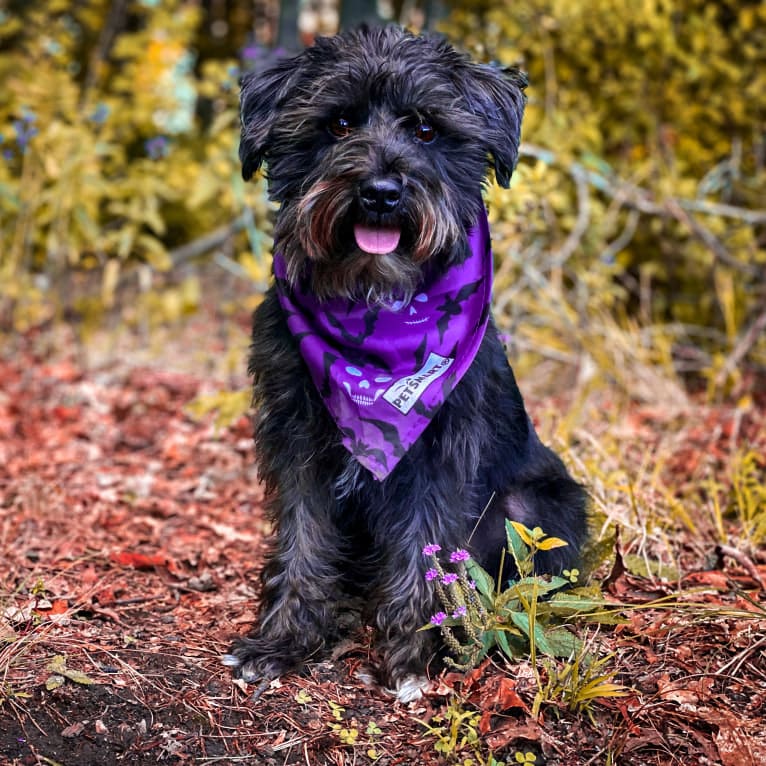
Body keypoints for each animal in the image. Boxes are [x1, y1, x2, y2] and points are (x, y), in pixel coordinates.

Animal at [225, 28, 592, 704]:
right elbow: (302, 540)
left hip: (535, 507)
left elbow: (425, 546)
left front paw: (419, 651)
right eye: (339, 123)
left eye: (425, 129)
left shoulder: (436, 451)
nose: (380, 192)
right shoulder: (296, 439)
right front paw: (284, 641)